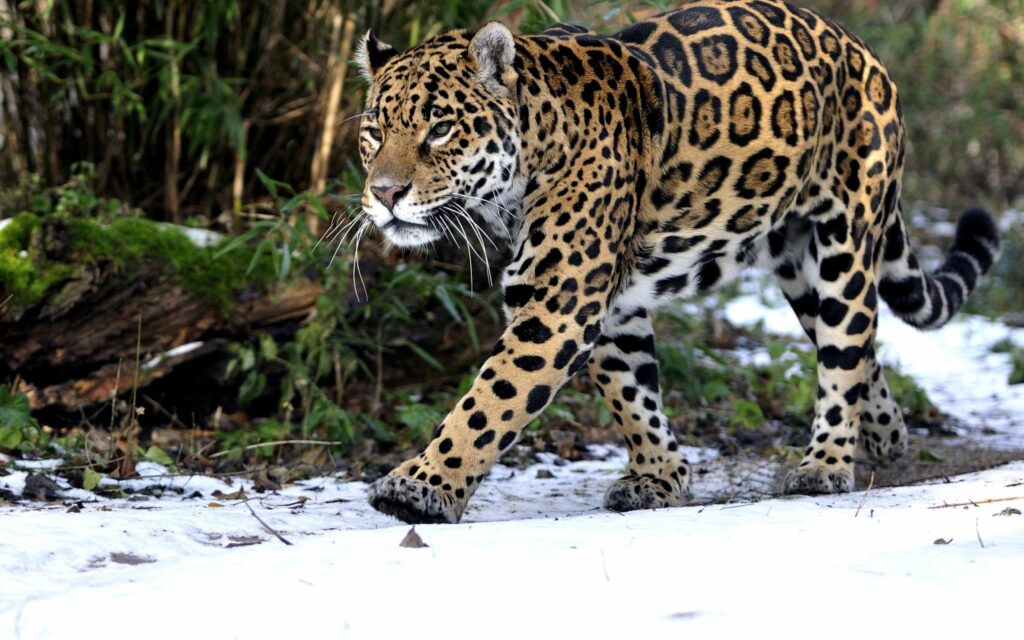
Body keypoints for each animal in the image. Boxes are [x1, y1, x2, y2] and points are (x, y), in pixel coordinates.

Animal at [353, 0, 1000, 524]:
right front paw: (660, 477)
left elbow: (490, 402)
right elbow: (631, 392)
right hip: (797, 265)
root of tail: (865, 52)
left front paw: (419, 487)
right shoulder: (606, 305)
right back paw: (886, 436)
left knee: (845, 347)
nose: (384, 194)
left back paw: (826, 464)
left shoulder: (560, 305)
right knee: (858, 343)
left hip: (843, 238)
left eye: (441, 129)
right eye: (374, 132)